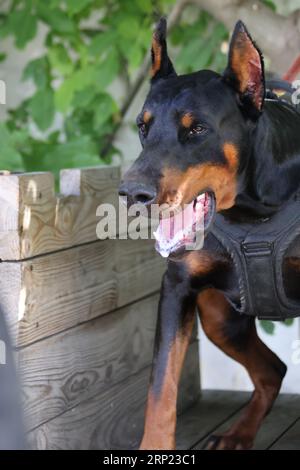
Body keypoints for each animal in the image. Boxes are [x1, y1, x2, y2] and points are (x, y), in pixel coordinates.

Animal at [118, 18, 300, 450]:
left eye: (197, 129)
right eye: (142, 127)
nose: (131, 193)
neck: (252, 211)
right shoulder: (178, 288)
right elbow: (160, 390)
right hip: (220, 317)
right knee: (273, 370)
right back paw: (238, 435)